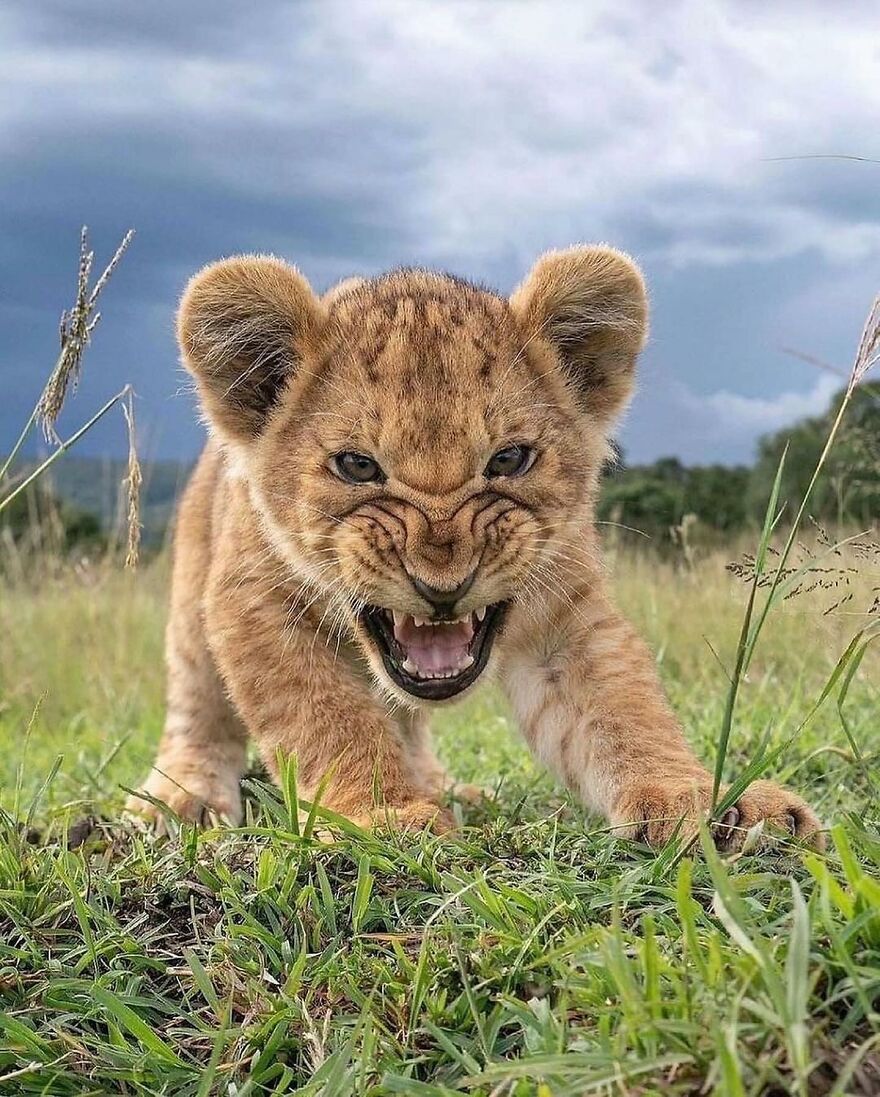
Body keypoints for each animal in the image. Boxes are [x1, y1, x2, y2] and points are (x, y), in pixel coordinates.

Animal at [127, 246, 822, 849]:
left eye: (508, 459)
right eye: (357, 466)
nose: (443, 585)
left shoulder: (566, 615)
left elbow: (624, 710)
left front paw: (703, 800)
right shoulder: (255, 607)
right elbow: (328, 718)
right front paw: (382, 816)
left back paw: (444, 785)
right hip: (193, 602)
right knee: (197, 705)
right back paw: (181, 798)